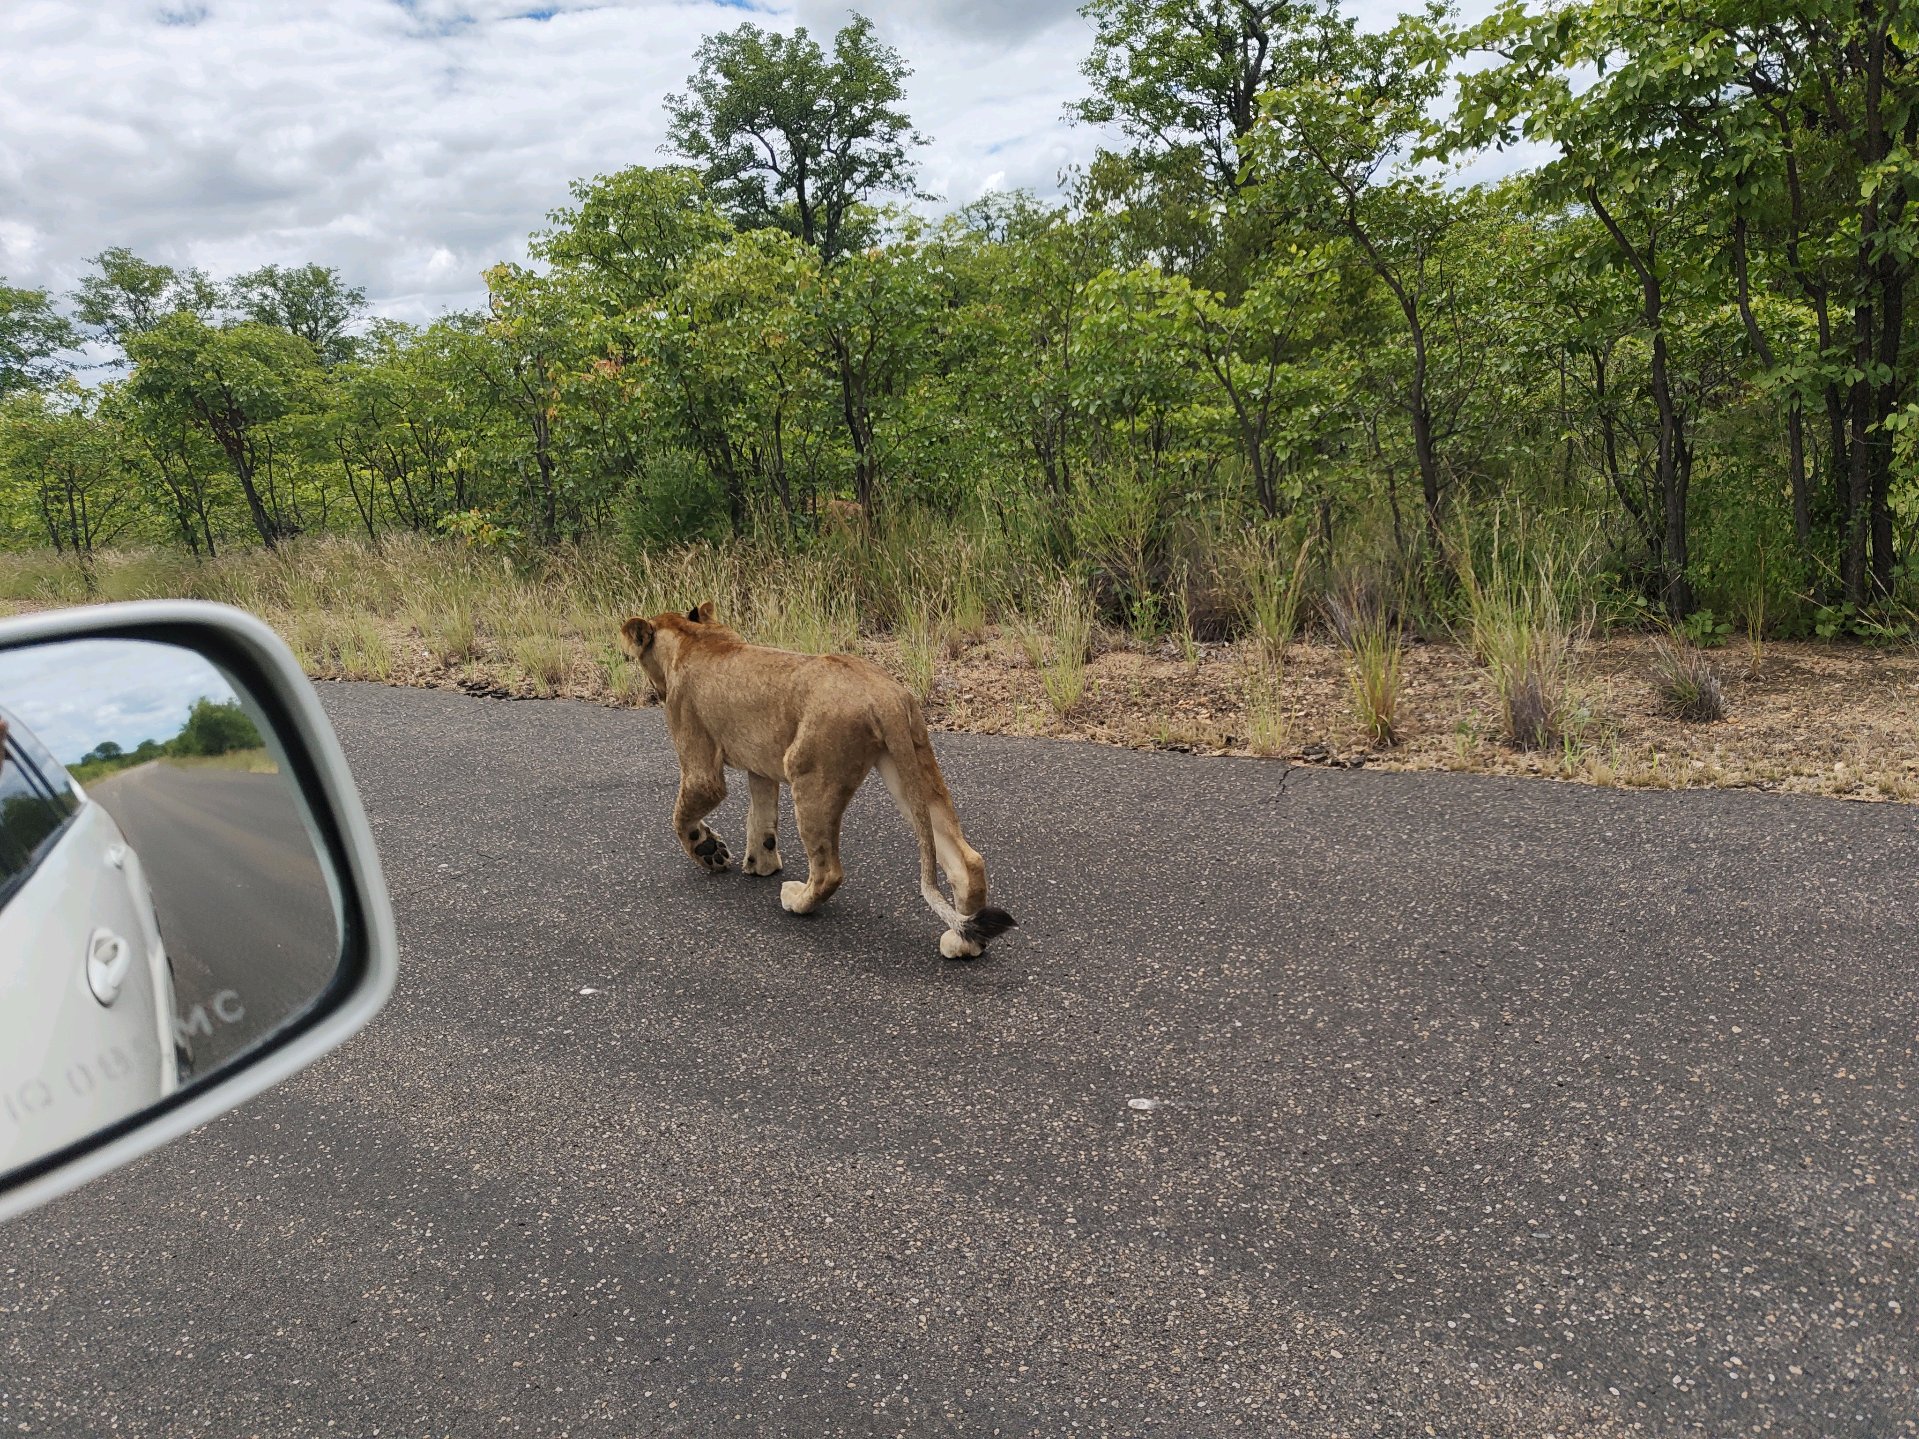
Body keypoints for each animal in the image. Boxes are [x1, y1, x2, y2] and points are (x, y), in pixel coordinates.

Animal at [620, 602, 1017, 959]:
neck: (693, 636)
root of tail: (884, 695)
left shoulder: (701, 768)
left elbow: (683, 817)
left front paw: (708, 850)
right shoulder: (760, 768)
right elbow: (760, 820)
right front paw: (761, 864)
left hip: (810, 772)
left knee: (829, 872)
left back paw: (796, 900)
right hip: (911, 767)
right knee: (967, 860)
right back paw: (964, 944)